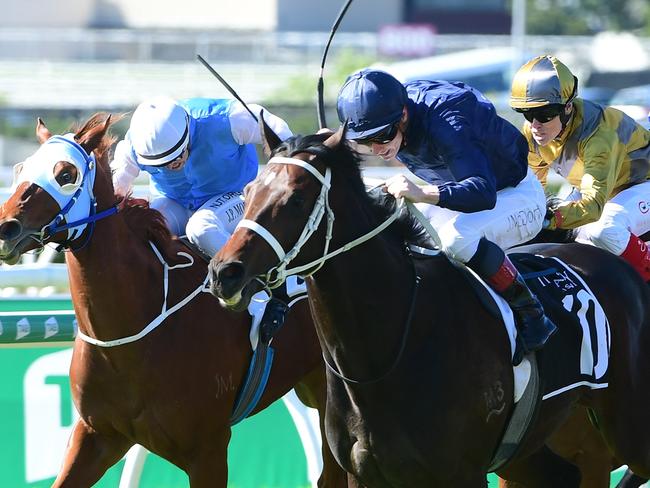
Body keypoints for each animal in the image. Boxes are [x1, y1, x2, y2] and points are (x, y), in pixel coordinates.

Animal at [0, 115, 346, 488]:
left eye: (66, 174)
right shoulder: (96, 435)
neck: (129, 338)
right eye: (21, 168)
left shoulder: (208, 451)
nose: (6, 227)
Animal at [209, 124, 650, 486]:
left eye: (297, 199)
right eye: (248, 192)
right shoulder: (363, 475)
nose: (224, 272)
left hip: (628, 425)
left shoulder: (461, 473)